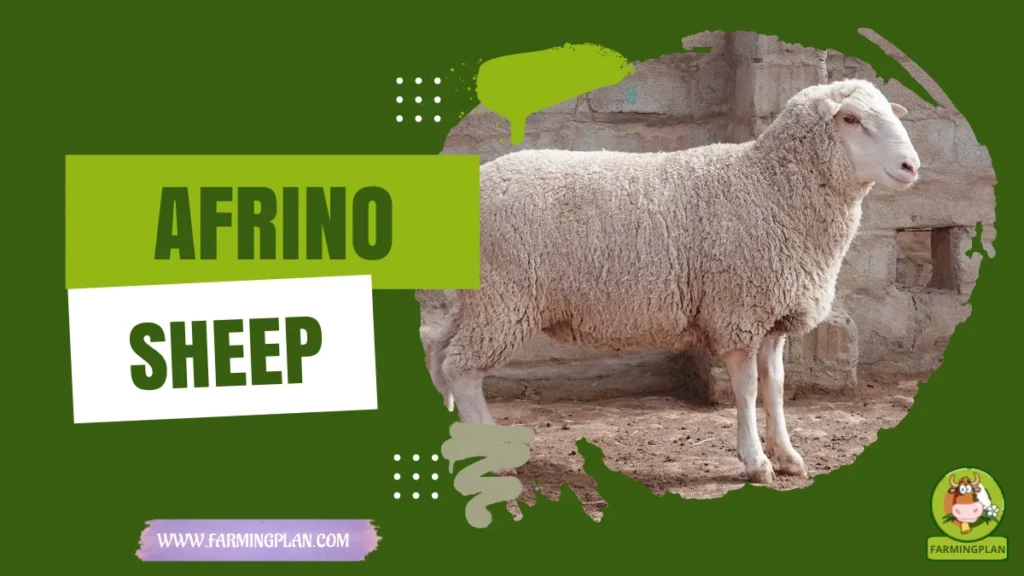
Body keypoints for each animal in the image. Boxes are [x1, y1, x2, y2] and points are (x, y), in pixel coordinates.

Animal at [417, 78, 920, 485]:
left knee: (438, 352)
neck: (770, 188)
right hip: (502, 299)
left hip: (477, 298)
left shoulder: (773, 315)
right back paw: (493, 456)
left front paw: (788, 456)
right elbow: (747, 390)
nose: (912, 167)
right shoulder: (737, 311)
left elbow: (775, 386)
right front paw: (756, 462)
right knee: (462, 369)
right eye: (851, 119)